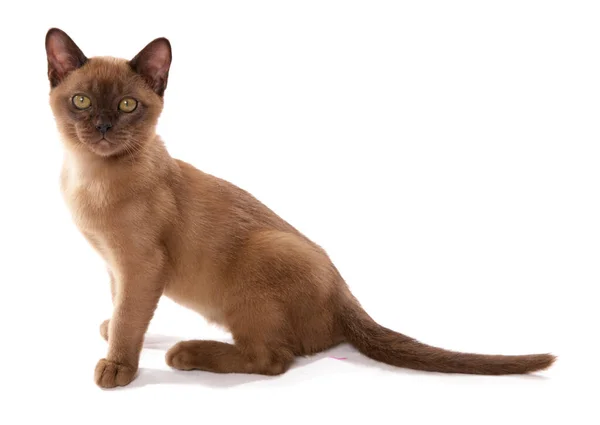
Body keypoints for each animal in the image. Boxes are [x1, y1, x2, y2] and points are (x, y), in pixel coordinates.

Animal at [44, 27, 556, 388]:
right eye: (81, 101)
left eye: (128, 105)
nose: (104, 127)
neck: (89, 175)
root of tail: (345, 293)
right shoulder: (115, 265)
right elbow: (122, 309)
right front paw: (111, 328)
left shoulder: (142, 264)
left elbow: (131, 319)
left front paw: (117, 367)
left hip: (265, 254)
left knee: (272, 360)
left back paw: (186, 353)